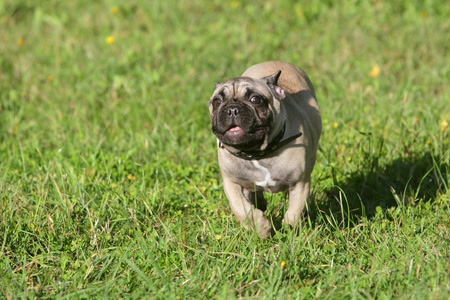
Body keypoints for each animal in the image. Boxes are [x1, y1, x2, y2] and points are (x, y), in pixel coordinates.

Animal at [209, 61, 322, 238]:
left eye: (256, 99)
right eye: (217, 102)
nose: (232, 109)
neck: (257, 153)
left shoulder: (300, 183)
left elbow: (294, 212)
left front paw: (290, 231)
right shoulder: (231, 182)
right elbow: (242, 208)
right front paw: (261, 228)